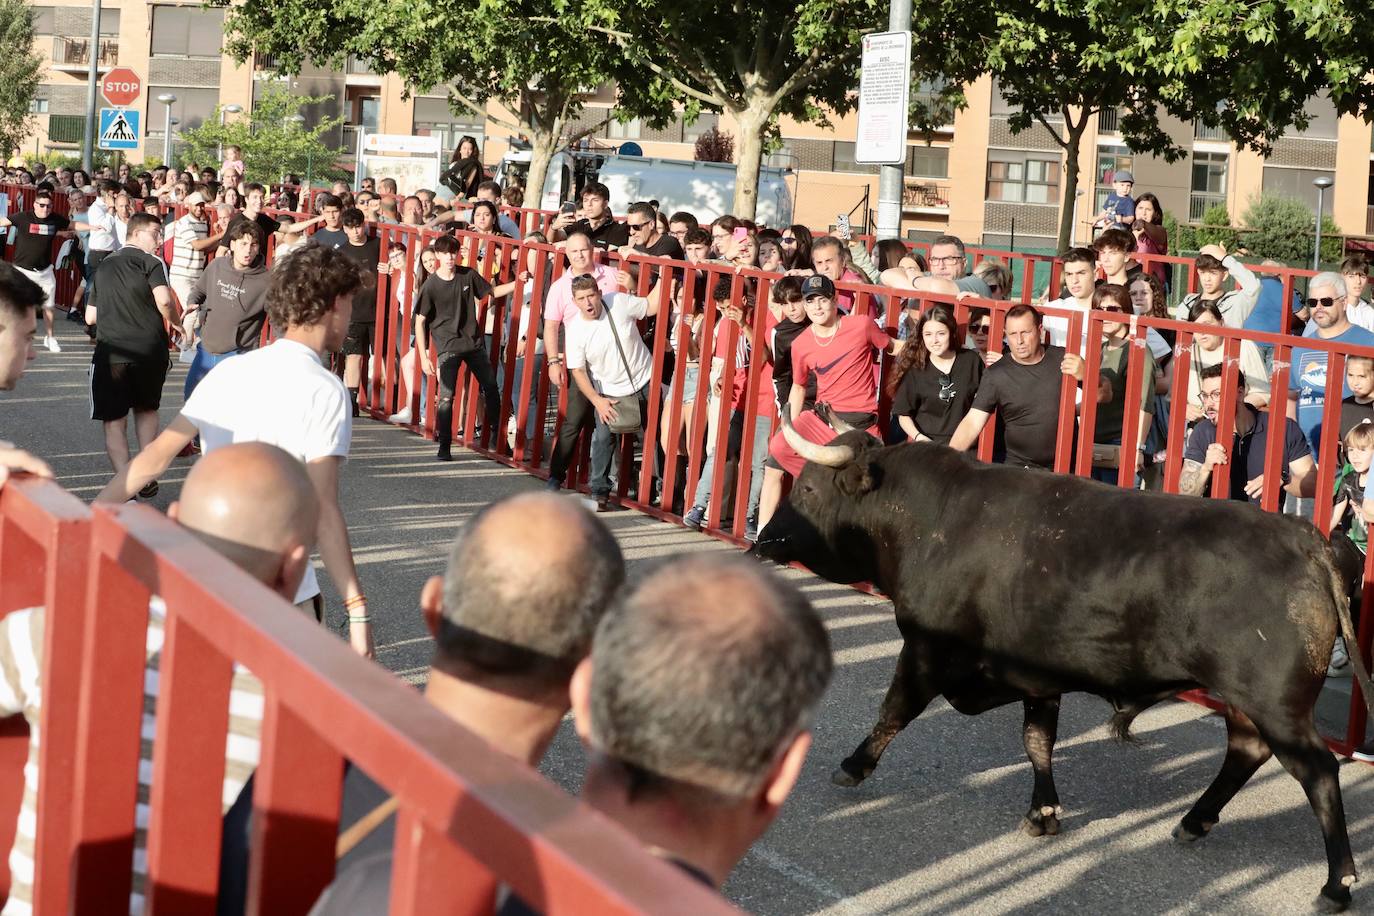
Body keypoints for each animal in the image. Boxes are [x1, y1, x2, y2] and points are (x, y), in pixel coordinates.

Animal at [752, 411, 1374, 911]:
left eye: (808, 488)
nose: (763, 541)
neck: (932, 520)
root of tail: (1310, 541)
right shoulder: (1037, 675)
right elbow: (1037, 741)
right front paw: (1043, 812)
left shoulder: (926, 649)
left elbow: (894, 710)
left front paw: (854, 765)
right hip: (1247, 701)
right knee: (1246, 752)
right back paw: (1193, 821)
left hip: (1276, 703)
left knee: (1318, 772)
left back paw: (1336, 883)